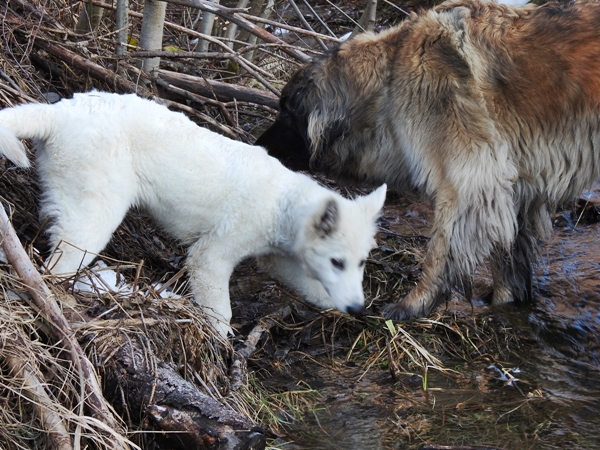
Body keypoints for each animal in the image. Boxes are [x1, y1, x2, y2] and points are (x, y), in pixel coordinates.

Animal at [0, 92, 386, 338]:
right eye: (337, 261)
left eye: (361, 262)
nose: (358, 308)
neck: (281, 202)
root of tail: (60, 113)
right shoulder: (211, 256)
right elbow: (220, 310)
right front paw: (222, 342)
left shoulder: (277, 258)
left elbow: (313, 287)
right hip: (95, 209)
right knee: (57, 267)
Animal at [255, 0, 600, 322]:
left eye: (287, 111)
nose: (257, 146)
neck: (388, 82)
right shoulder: (507, 190)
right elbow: (507, 256)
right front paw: (505, 302)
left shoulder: (467, 184)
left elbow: (439, 252)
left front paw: (414, 304)